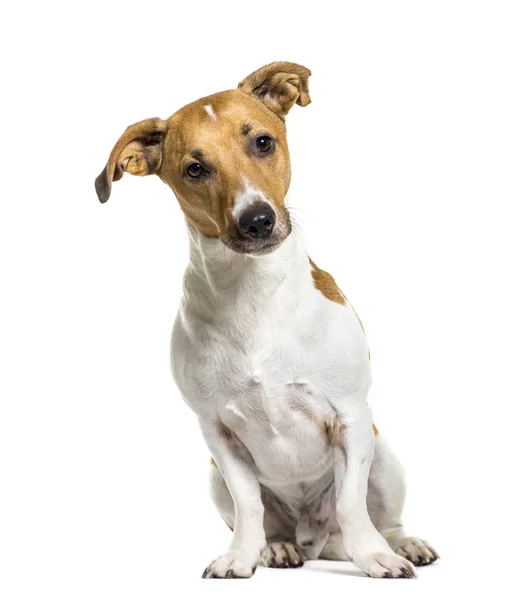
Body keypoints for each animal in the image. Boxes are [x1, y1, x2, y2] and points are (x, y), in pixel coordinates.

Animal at [95, 59, 438, 576]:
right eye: (194, 168)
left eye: (262, 142)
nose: (256, 219)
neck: (252, 293)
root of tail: (316, 540)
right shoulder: (217, 433)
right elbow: (249, 505)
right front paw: (241, 556)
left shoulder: (352, 418)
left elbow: (351, 504)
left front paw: (375, 556)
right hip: (214, 477)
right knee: (271, 522)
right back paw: (277, 547)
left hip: (383, 459)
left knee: (373, 515)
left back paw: (399, 543)